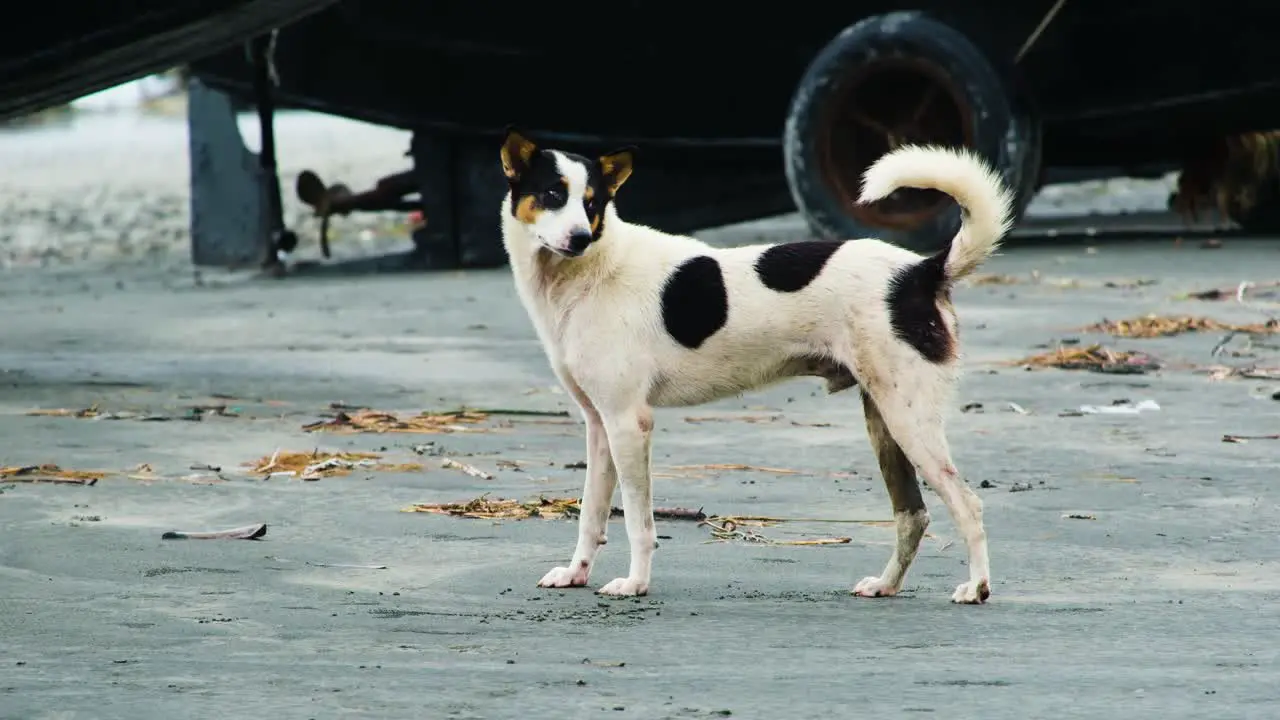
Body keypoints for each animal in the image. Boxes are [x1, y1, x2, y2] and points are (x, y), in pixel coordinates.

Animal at [496, 127, 1008, 599]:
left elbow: (639, 522)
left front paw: (635, 583)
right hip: (885, 421)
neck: (588, 271)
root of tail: (922, 270)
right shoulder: (600, 426)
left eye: (591, 203)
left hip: (910, 422)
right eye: (553, 195)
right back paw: (886, 585)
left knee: (968, 506)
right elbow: (591, 514)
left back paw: (976, 587)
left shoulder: (628, 423)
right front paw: (576, 573)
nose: (580, 238)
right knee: (912, 515)